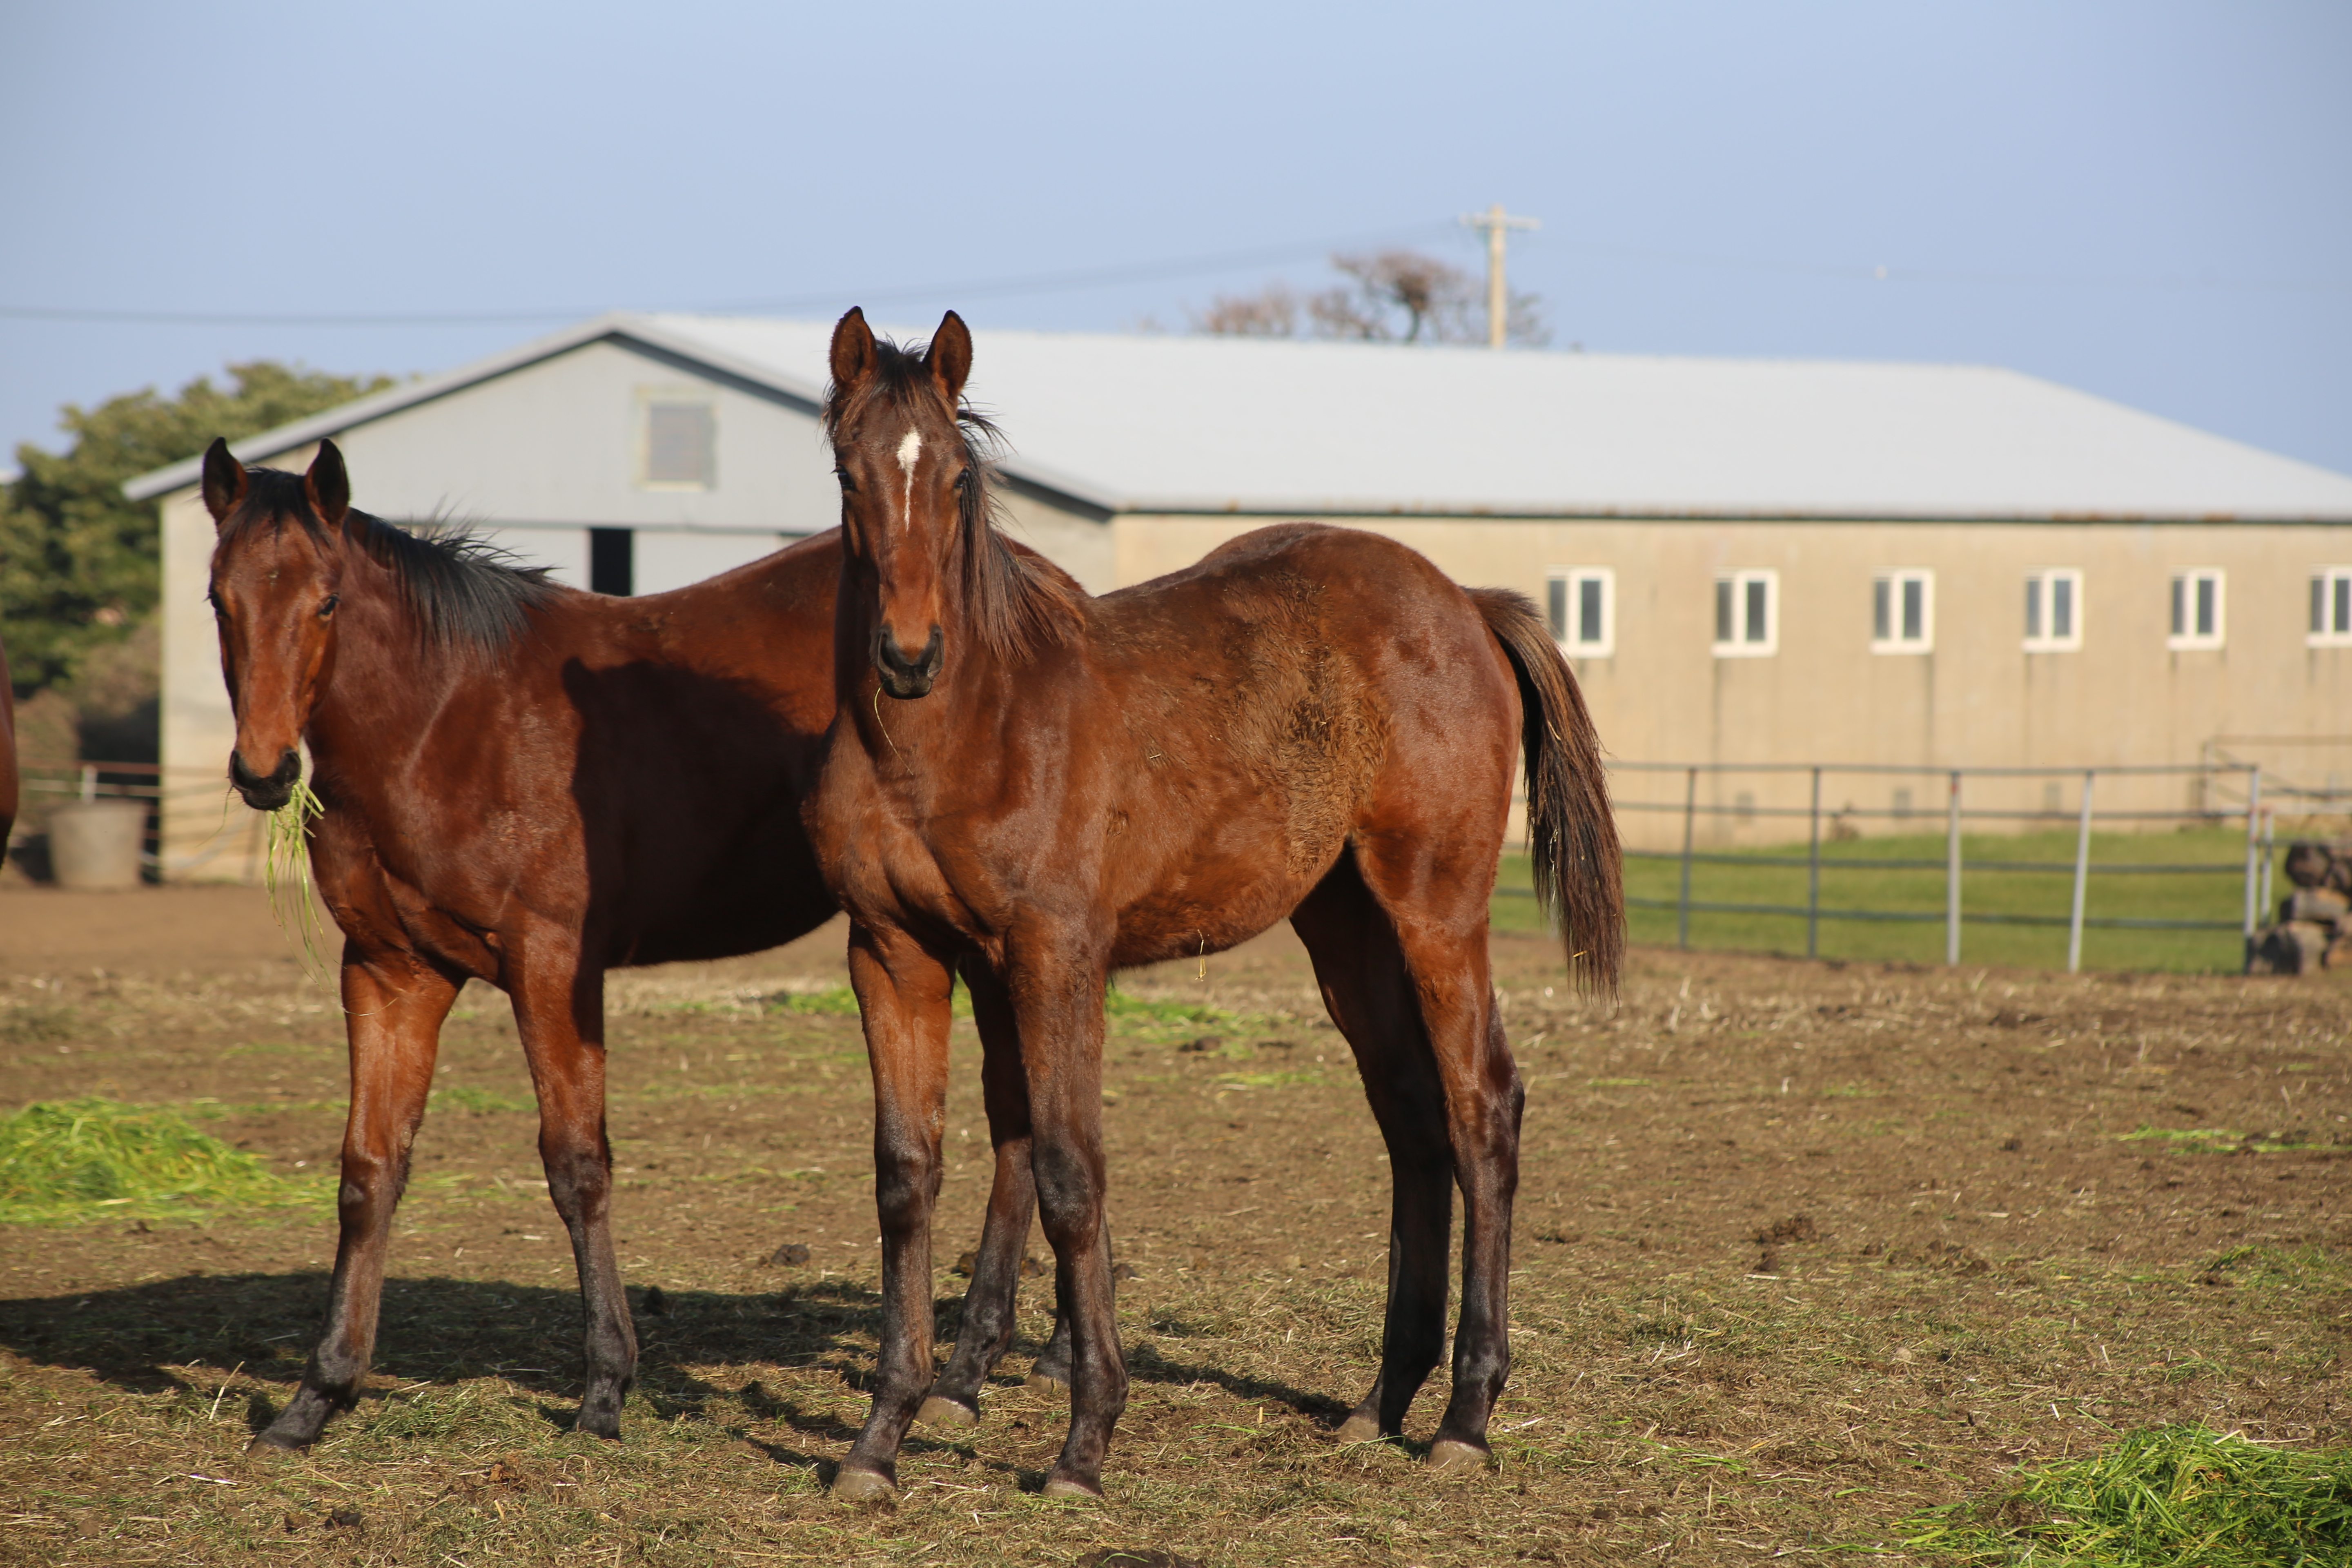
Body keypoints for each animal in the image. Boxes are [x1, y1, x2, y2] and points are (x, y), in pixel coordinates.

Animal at [804, 305, 1618, 1495]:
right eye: (849, 472)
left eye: (955, 477)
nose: (908, 656)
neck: (962, 732)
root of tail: (1464, 603)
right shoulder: (893, 954)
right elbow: (907, 1179)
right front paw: (881, 1437)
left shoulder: (1054, 957)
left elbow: (1067, 1173)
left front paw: (1085, 1441)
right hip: (1346, 930)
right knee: (1412, 1121)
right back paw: (1382, 1400)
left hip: (1434, 914)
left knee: (1482, 1112)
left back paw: (1465, 1416)